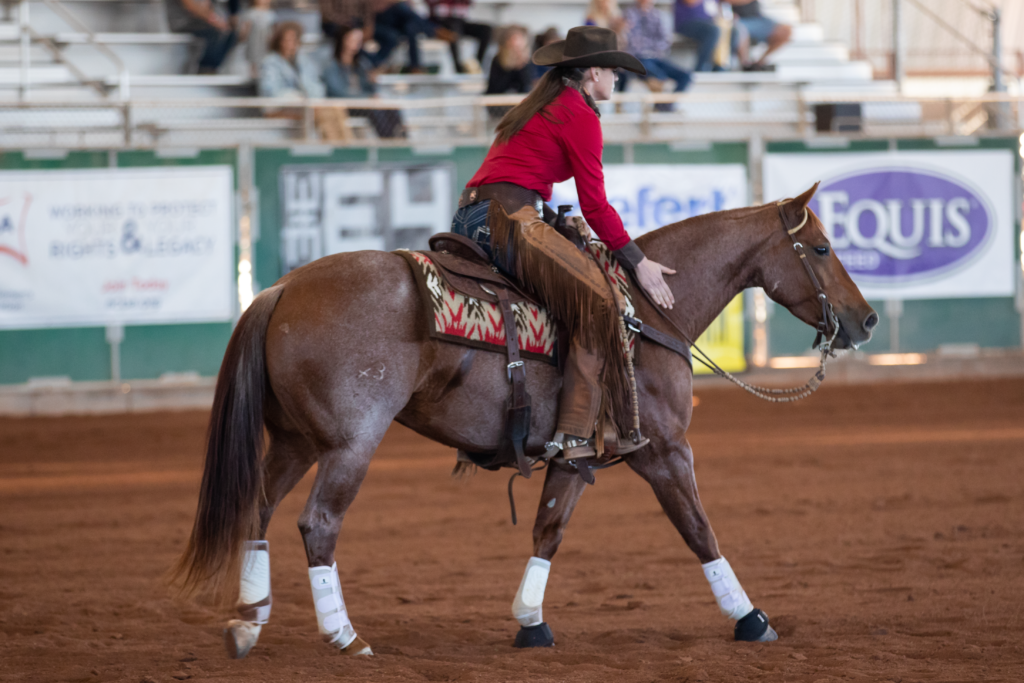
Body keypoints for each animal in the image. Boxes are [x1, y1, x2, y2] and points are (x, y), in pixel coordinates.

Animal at [172, 181, 876, 655]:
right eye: (821, 246)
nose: (866, 320)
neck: (647, 311)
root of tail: (279, 289)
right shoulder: (665, 450)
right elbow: (699, 530)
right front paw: (751, 618)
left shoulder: (577, 453)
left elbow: (548, 529)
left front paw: (530, 622)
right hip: (349, 444)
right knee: (318, 523)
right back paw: (344, 636)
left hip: (295, 439)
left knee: (259, 508)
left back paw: (248, 620)